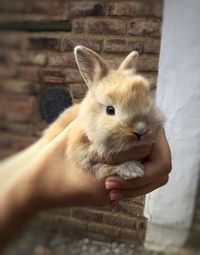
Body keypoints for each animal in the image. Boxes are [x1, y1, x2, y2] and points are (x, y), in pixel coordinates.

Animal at [43, 45, 164, 180]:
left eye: (147, 99)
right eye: (110, 110)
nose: (141, 129)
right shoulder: (83, 154)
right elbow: (103, 167)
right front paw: (133, 170)